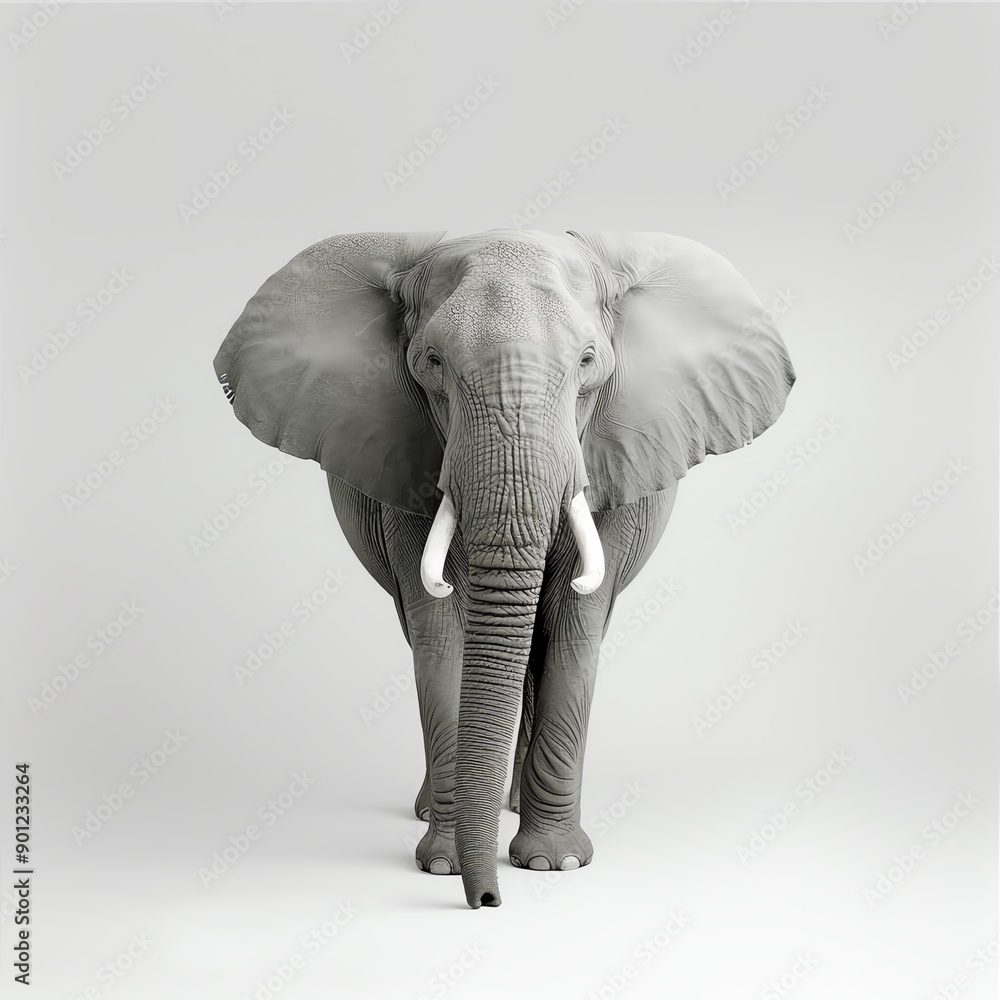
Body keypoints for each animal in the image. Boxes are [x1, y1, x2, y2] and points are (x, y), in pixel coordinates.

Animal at [213, 230, 795, 909]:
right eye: (431, 362)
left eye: (589, 362)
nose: (488, 902)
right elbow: (442, 631)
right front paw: (443, 864)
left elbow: (574, 625)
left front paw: (553, 863)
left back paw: (512, 808)